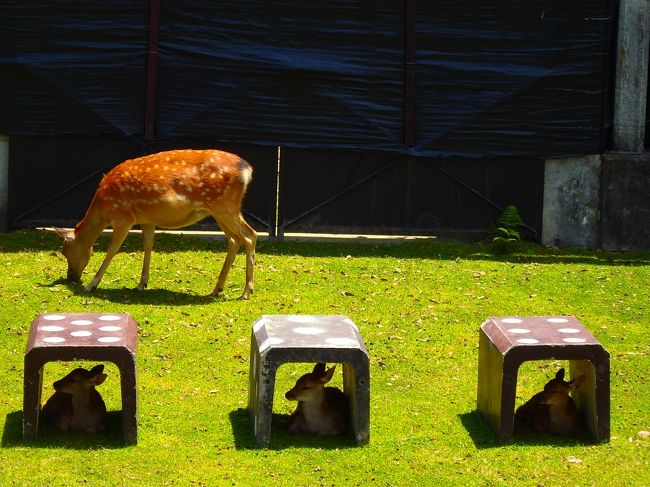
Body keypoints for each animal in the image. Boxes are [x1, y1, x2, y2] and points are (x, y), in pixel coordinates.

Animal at [53, 150, 256, 302]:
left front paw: (92, 284)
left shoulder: (123, 218)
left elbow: (112, 250)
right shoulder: (147, 220)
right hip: (219, 209)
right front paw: (141, 284)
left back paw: (246, 292)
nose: (71, 277)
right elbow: (148, 245)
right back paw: (217, 289)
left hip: (224, 205)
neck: (102, 207)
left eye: (65, 251)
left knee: (249, 235)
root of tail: (247, 170)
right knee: (234, 240)